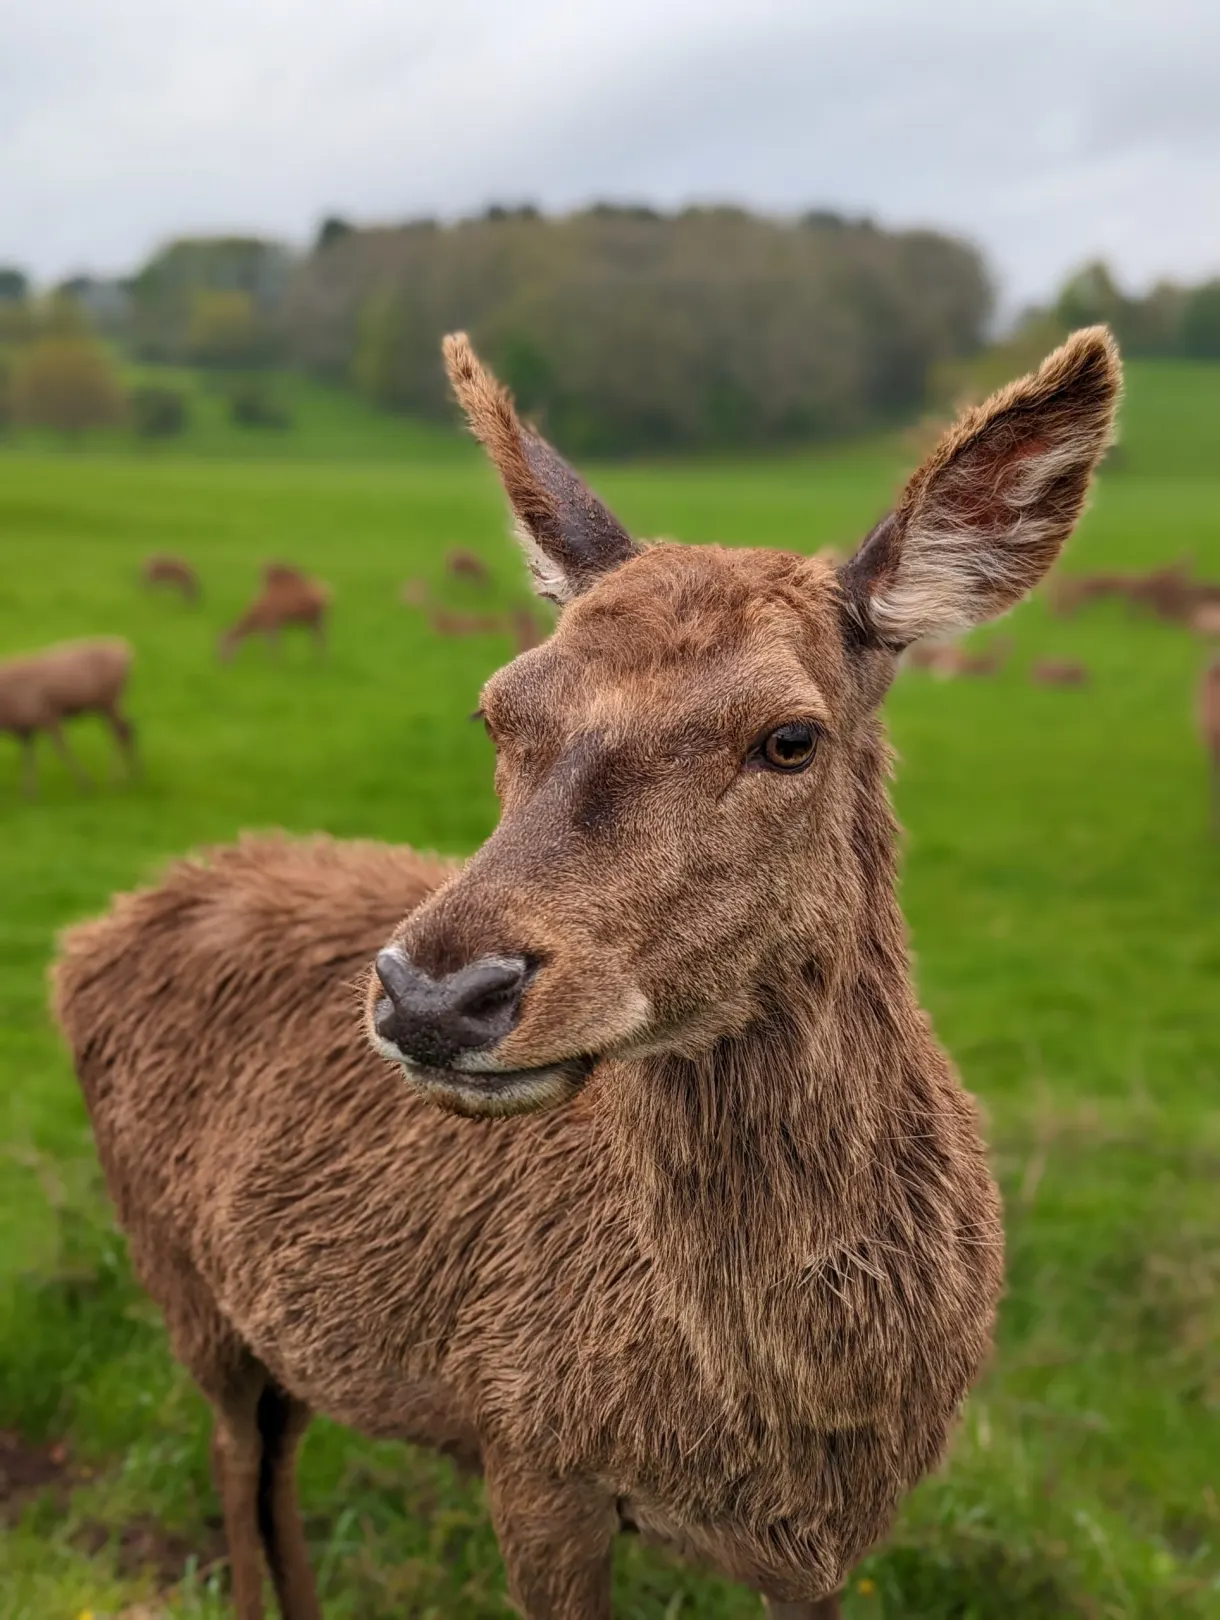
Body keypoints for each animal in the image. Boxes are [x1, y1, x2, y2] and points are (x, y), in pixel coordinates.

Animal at [2, 637, 137, 799]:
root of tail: (125, 649)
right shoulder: (26, 728)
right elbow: (28, 756)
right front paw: (30, 792)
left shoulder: (47, 716)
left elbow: (62, 749)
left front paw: (86, 783)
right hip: (106, 706)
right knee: (127, 728)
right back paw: (135, 774)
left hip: (110, 701)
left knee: (120, 732)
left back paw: (117, 778)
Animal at [52, 326, 1121, 1620]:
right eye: (494, 709)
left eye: (789, 738)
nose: (434, 995)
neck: (799, 1414)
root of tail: (99, 927)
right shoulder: (526, 1443)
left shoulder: (836, 1541)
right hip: (176, 1275)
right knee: (233, 1461)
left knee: (277, 1452)